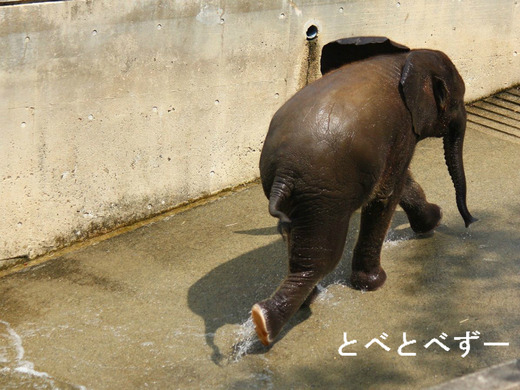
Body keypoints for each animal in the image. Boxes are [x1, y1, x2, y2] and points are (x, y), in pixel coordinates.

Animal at [251, 36, 476, 346]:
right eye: (457, 102)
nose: (470, 222)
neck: (407, 57)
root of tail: (284, 173)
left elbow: (397, 181)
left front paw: (432, 221)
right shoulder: (402, 126)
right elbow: (387, 191)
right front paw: (373, 284)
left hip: (303, 192)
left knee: (297, 239)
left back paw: (304, 302)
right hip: (323, 191)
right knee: (321, 257)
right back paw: (265, 324)